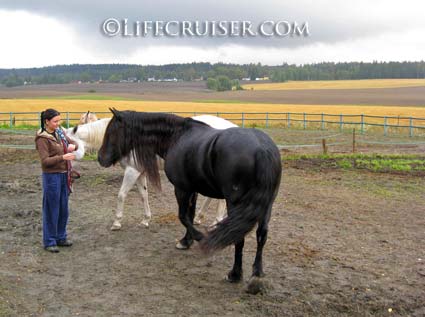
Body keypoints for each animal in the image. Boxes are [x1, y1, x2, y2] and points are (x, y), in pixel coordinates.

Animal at [68, 113, 237, 230]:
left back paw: (216, 221)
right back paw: (200, 217)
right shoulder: (140, 172)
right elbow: (144, 195)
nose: (100, 158)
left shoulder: (132, 171)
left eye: (69, 144)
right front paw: (145, 220)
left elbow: (121, 195)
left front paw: (117, 222)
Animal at [97, 108, 280, 282]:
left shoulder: (182, 189)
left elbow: (183, 216)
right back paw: (257, 273)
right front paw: (186, 241)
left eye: (111, 132)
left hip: (235, 204)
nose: (100, 158)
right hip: (266, 205)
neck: (176, 137)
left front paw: (198, 238)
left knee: (238, 235)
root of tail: (262, 149)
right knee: (261, 234)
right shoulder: (193, 189)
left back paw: (234, 274)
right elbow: (190, 216)